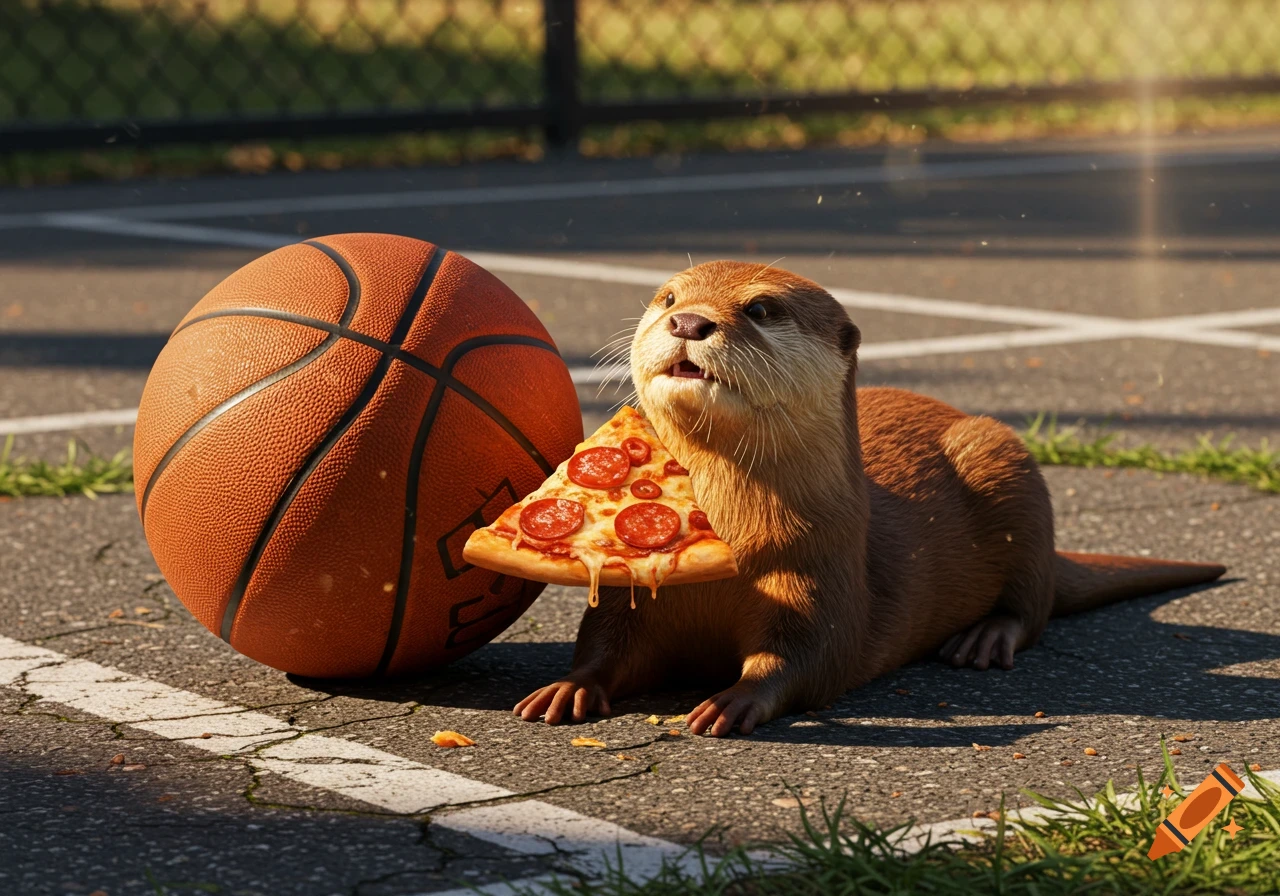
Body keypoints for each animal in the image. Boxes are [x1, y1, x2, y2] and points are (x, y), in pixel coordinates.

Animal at [514, 261, 1225, 737]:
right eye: (666, 297)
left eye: (761, 309)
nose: (688, 321)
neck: (733, 540)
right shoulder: (630, 589)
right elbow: (606, 642)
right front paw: (566, 689)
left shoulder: (820, 573)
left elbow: (809, 656)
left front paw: (731, 699)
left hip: (1007, 463)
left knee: (1034, 602)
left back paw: (984, 637)